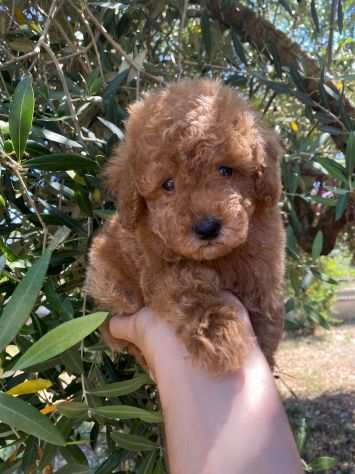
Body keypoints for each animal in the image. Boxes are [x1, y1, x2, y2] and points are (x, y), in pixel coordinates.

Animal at [87, 78, 286, 374]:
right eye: (168, 184)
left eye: (225, 170)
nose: (207, 228)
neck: (218, 257)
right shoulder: (159, 270)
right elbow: (189, 288)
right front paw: (220, 336)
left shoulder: (264, 268)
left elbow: (266, 312)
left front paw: (265, 353)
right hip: (104, 270)